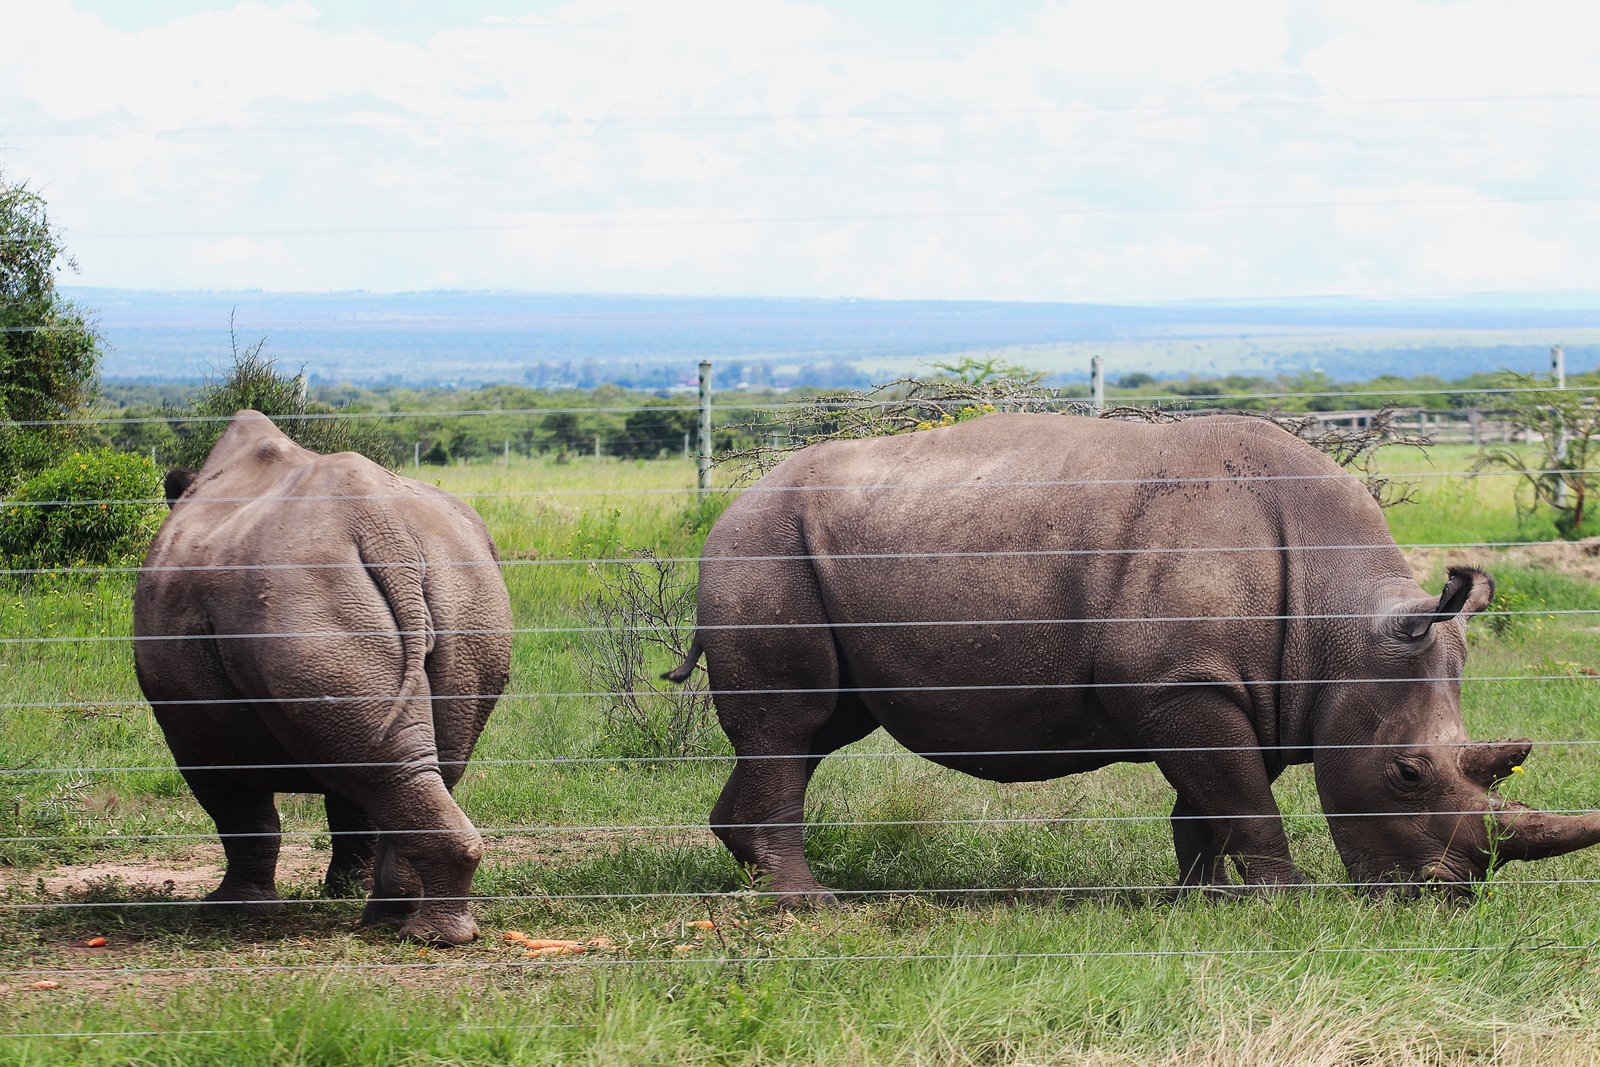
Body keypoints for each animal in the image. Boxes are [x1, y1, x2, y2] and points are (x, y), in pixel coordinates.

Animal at [133, 411, 511, 944]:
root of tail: (383, 527)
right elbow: (351, 808)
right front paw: (341, 890)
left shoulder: (189, 728)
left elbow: (238, 811)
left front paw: (233, 910)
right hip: (466, 589)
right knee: (411, 763)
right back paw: (398, 921)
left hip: (305, 592)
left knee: (381, 766)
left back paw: (423, 934)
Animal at [666, 413, 1600, 902]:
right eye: (1407, 773)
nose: (1445, 898)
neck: (1341, 620)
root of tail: (733, 507)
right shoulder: (1183, 683)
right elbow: (1245, 801)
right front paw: (1289, 902)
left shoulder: (1222, 686)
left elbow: (1209, 805)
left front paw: (1200, 903)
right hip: (762, 547)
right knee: (790, 727)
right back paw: (813, 908)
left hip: (801, 548)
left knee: (813, 731)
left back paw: (752, 878)